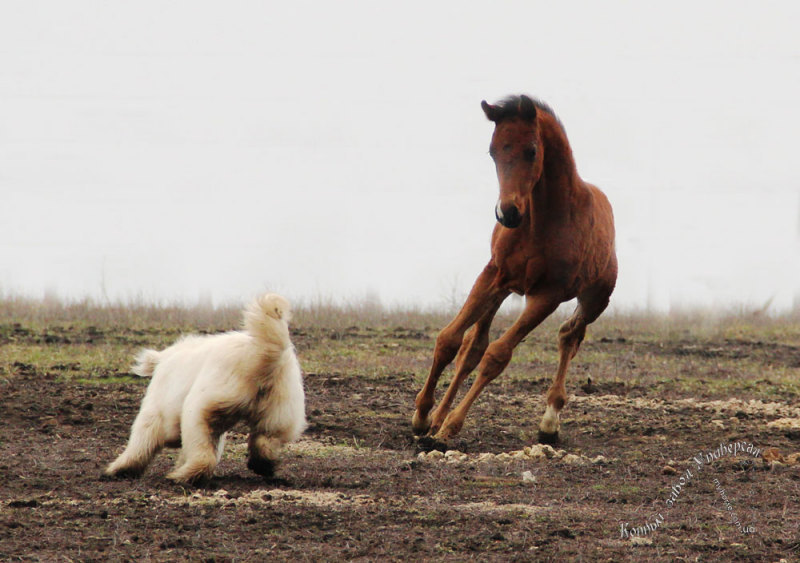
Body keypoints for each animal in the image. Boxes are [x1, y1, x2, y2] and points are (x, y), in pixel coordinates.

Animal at [106, 296, 306, 484]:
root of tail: (259, 356)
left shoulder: (162, 394)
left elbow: (147, 428)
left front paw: (117, 469)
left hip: (218, 385)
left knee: (199, 427)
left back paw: (181, 475)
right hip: (281, 394)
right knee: (271, 431)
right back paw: (263, 464)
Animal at [412, 93, 620, 446]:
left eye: (532, 150)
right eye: (493, 150)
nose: (507, 213)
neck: (542, 221)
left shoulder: (547, 295)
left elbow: (497, 355)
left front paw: (451, 427)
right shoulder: (492, 275)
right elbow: (450, 340)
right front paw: (424, 416)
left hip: (595, 299)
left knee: (570, 336)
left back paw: (549, 422)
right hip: (505, 289)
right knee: (473, 346)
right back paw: (436, 418)